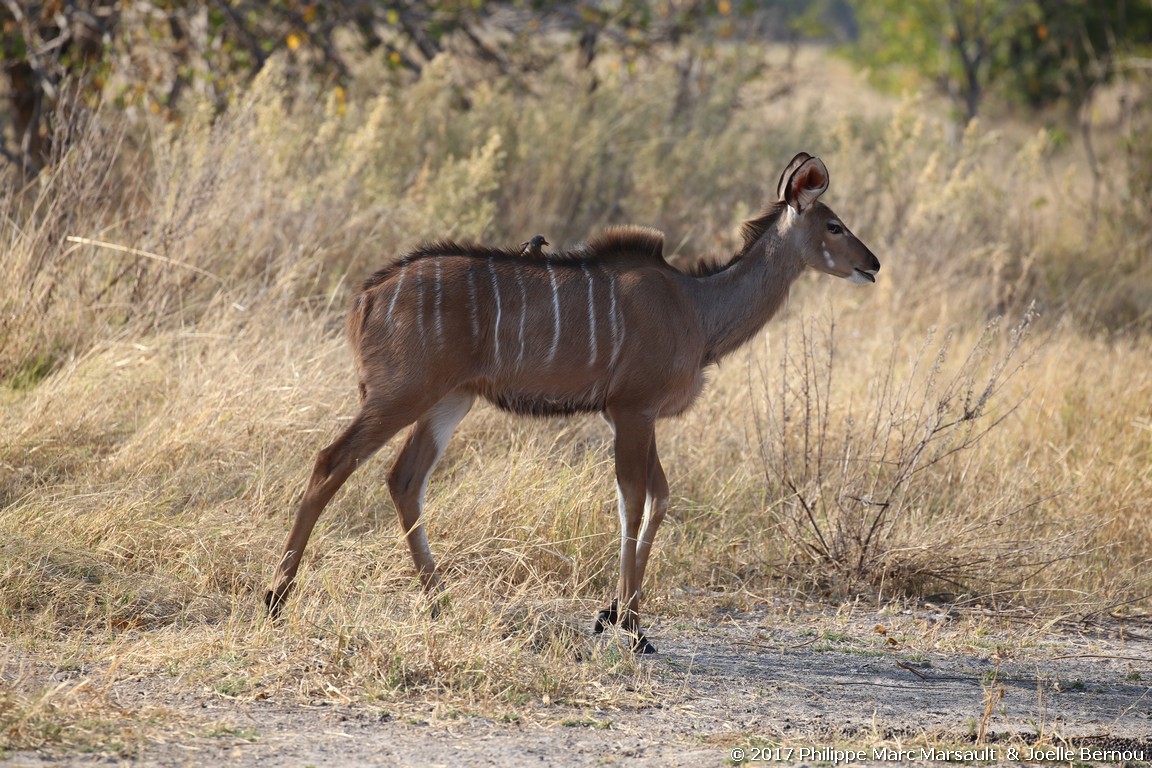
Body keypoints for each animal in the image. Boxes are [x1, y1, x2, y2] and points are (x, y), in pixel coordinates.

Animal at [267, 153, 880, 654]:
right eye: (835, 224)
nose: (872, 264)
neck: (697, 309)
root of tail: (366, 297)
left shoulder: (632, 415)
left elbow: (658, 497)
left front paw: (619, 615)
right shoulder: (633, 410)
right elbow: (634, 500)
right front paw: (629, 626)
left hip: (449, 400)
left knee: (404, 479)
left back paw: (440, 601)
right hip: (401, 394)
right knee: (332, 462)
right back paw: (276, 598)